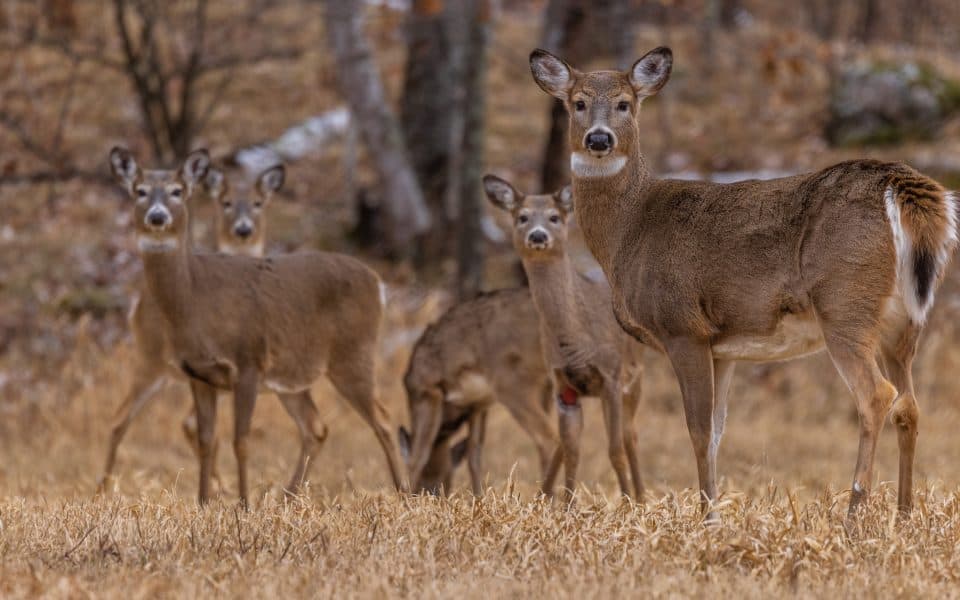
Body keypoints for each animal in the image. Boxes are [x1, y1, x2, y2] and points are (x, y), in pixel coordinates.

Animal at [109, 148, 408, 504]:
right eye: (139, 191)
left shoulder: (248, 361)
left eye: (177, 191)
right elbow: (207, 438)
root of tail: (378, 284)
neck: (196, 298)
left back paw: (404, 493)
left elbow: (241, 440)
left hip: (353, 353)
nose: (157, 217)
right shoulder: (199, 374)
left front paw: (244, 504)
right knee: (316, 427)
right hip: (292, 376)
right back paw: (288, 497)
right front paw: (204, 502)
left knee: (384, 419)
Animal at [398, 288, 556, 494]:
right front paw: (478, 496)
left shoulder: (426, 391)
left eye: (440, 483)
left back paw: (547, 496)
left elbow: (418, 455)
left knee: (548, 438)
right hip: (548, 388)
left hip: (514, 385)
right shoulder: (478, 405)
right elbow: (474, 455)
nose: (433, 494)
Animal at [480, 175, 644, 502]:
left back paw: (641, 496)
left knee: (630, 435)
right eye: (522, 216)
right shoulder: (564, 386)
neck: (577, 338)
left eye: (555, 217)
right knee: (561, 442)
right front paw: (568, 505)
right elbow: (572, 450)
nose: (538, 235)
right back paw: (545, 495)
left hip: (634, 378)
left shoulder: (611, 375)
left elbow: (615, 449)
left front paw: (627, 504)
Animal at [528, 45, 956, 520]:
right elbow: (717, 433)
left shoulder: (682, 327)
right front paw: (713, 509)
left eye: (625, 103)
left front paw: (707, 516)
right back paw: (903, 513)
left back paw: (854, 513)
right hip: (904, 319)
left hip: (844, 302)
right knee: (909, 406)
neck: (628, 230)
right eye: (578, 103)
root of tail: (900, 186)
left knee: (877, 395)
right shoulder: (724, 347)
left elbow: (697, 430)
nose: (599, 139)